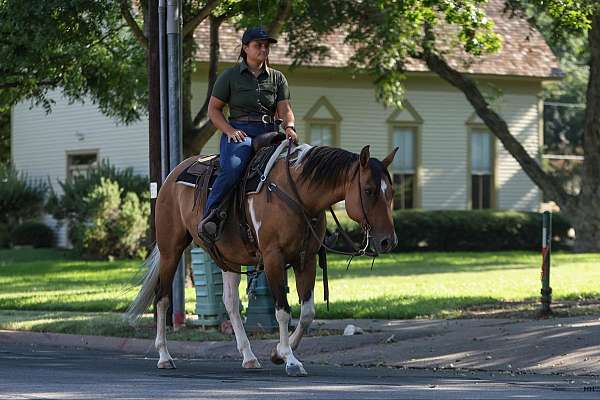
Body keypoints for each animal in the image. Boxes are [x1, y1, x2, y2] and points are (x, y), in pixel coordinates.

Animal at [126, 142, 398, 376]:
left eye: (391, 192)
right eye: (369, 190)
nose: (388, 241)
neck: (297, 195)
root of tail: (173, 175)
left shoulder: (306, 260)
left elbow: (307, 313)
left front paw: (278, 353)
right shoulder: (273, 258)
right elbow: (283, 311)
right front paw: (290, 359)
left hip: (228, 258)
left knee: (230, 302)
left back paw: (248, 356)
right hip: (171, 249)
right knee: (162, 299)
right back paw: (164, 356)